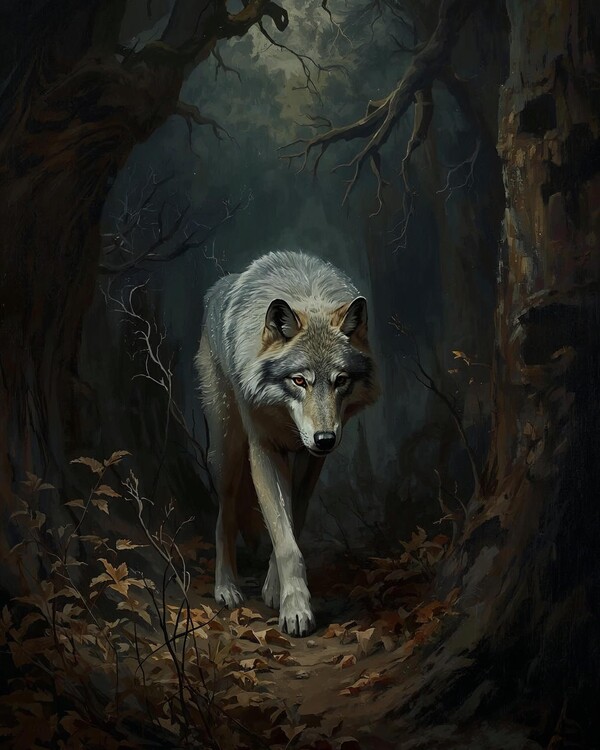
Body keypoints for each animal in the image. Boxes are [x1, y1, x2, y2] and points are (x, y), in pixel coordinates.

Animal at [195, 251, 379, 636]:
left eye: (340, 381)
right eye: (299, 380)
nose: (325, 438)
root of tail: (216, 289)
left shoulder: (312, 460)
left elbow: (292, 522)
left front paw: (274, 589)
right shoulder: (264, 450)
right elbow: (285, 541)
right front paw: (296, 610)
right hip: (227, 451)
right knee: (224, 515)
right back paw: (226, 587)